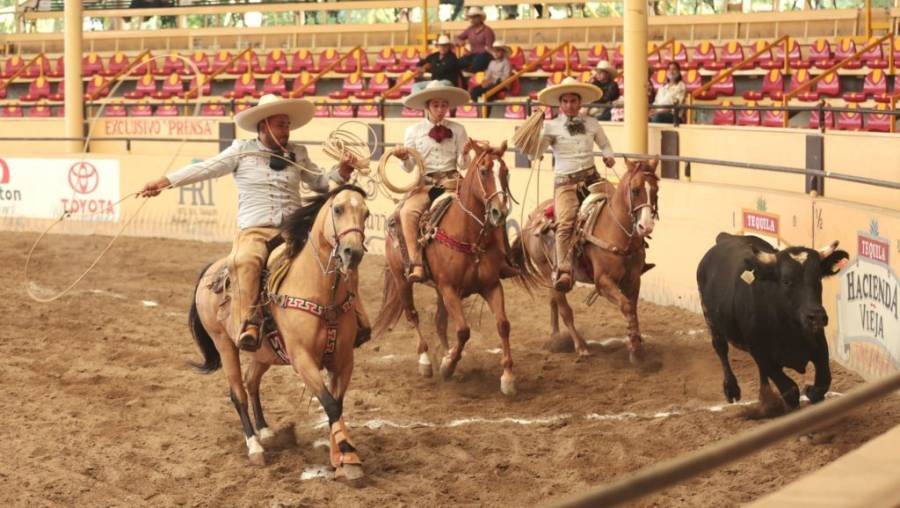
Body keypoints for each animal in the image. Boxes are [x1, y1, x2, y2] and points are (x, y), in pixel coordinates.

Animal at [186, 184, 370, 480]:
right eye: (338, 209)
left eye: (366, 213)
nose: (352, 252)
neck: (321, 293)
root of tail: (211, 271)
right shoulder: (302, 359)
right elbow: (330, 404)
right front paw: (347, 454)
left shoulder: (343, 360)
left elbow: (337, 404)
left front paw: (343, 459)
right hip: (224, 343)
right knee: (237, 392)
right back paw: (254, 446)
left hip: (264, 354)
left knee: (251, 382)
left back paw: (265, 431)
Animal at [372, 141, 520, 394]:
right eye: (484, 171)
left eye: (506, 172)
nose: (499, 212)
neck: (470, 237)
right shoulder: (449, 289)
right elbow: (463, 330)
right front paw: (448, 365)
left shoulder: (491, 286)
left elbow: (502, 325)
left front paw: (508, 377)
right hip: (402, 280)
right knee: (412, 315)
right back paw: (425, 361)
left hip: (439, 291)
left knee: (440, 322)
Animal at [512, 159, 660, 362]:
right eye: (635, 190)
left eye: (655, 190)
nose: (646, 226)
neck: (615, 231)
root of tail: (530, 221)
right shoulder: (603, 282)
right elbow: (627, 307)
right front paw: (636, 350)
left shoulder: (633, 279)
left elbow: (633, 309)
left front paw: (636, 343)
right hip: (546, 270)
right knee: (565, 310)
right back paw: (581, 347)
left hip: (551, 277)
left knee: (553, 302)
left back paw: (555, 338)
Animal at [700, 233, 848, 412]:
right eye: (786, 281)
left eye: (818, 278)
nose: (817, 316)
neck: (788, 327)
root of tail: (726, 238)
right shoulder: (763, 355)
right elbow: (790, 390)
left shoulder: (820, 347)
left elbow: (823, 382)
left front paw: (811, 391)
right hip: (711, 321)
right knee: (721, 348)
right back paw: (732, 389)